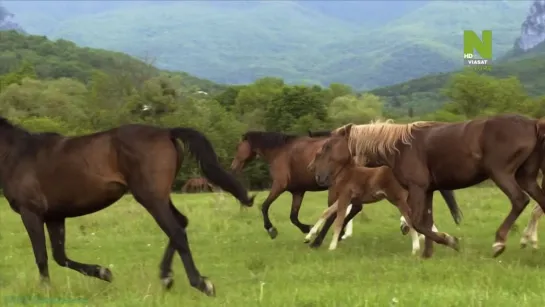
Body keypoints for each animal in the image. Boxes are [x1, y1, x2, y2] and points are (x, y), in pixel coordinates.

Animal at [0, 116, 254, 298]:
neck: (16, 155)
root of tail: (166, 132)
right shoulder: (54, 216)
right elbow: (59, 256)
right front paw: (104, 272)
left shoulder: (31, 212)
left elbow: (42, 256)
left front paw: (46, 290)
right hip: (160, 197)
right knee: (181, 224)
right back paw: (166, 278)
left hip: (150, 198)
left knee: (176, 231)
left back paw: (201, 283)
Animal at [227, 130, 462, 245]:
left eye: (239, 146)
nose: (233, 166)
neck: (282, 151)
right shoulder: (297, 191)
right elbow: (294, 216)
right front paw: (308, 229)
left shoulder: (280, 185)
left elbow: (264, 206)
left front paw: (273, 230)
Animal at [328, 115, 544, 260]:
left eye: (328, 146)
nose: (326, 178)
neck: (399, 147)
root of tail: (533, 123)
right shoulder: (428, 190)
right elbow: (427, 220)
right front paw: (427, 254)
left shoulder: (417, 188)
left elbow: (417, 222)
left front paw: (450, 241)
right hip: (527, 178)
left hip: (502, 173)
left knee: (519, 200)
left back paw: (499, 242)